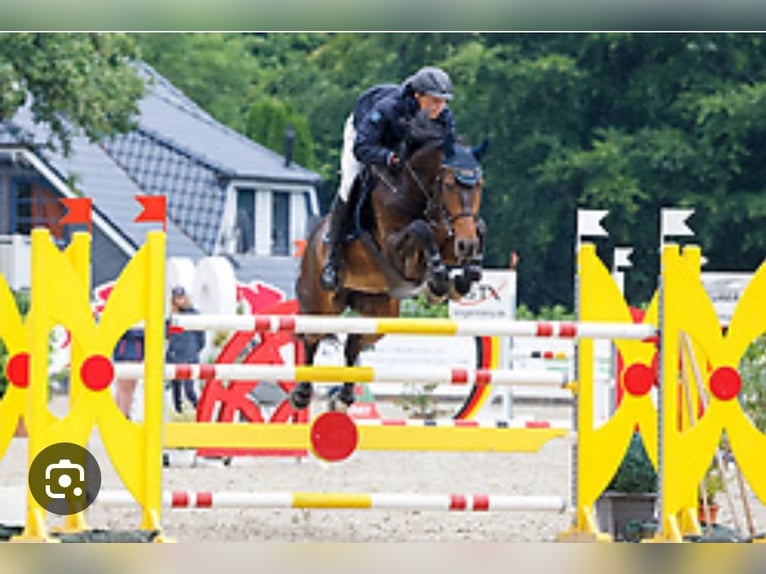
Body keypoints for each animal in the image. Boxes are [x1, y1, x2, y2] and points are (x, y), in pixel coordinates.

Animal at [292, 118, 488, 414]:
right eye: (449, 185)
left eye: (479, 185)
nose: (467, 246)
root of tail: (311, 239)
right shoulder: (394, 250)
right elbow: (420, 230)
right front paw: (438, 278)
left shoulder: (450, 238)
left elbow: (478, 228)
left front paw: (462, 277)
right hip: (320, 303)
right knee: (311, 338)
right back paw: (302, 394)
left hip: (381, 312)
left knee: (353, 343)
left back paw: (344, 398)